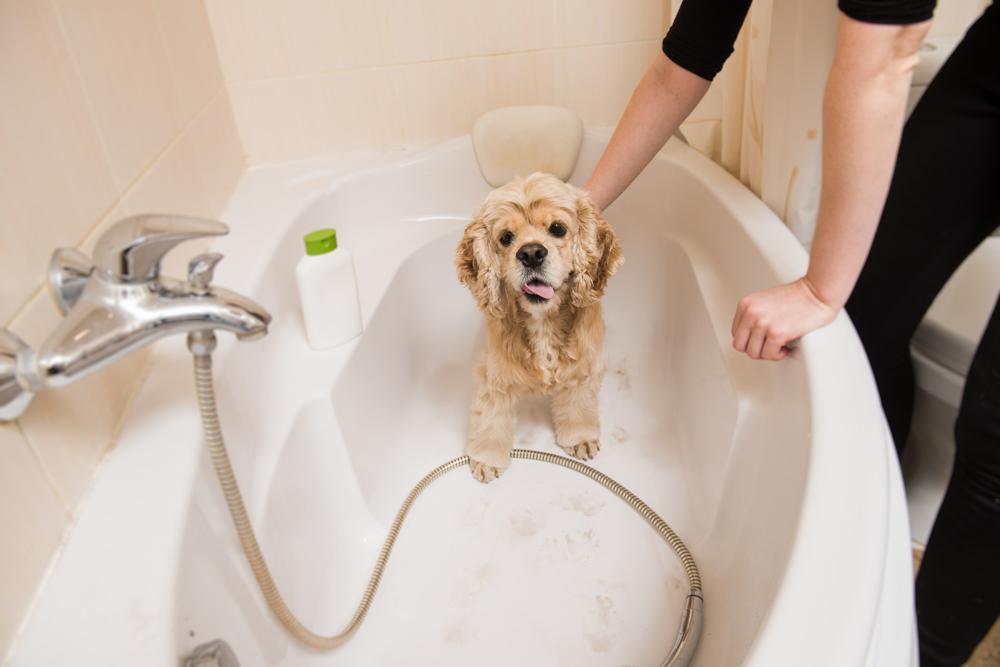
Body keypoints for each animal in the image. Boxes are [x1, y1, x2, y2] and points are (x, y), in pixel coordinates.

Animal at [458, 172, 620, 482]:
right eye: (506, 238)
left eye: (557, 229)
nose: (531, 253)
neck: (543, 321)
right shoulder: (495, 377)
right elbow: (491, 417)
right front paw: (486, 459)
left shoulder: (584, 368)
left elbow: (578, 404)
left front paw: (580, 438)